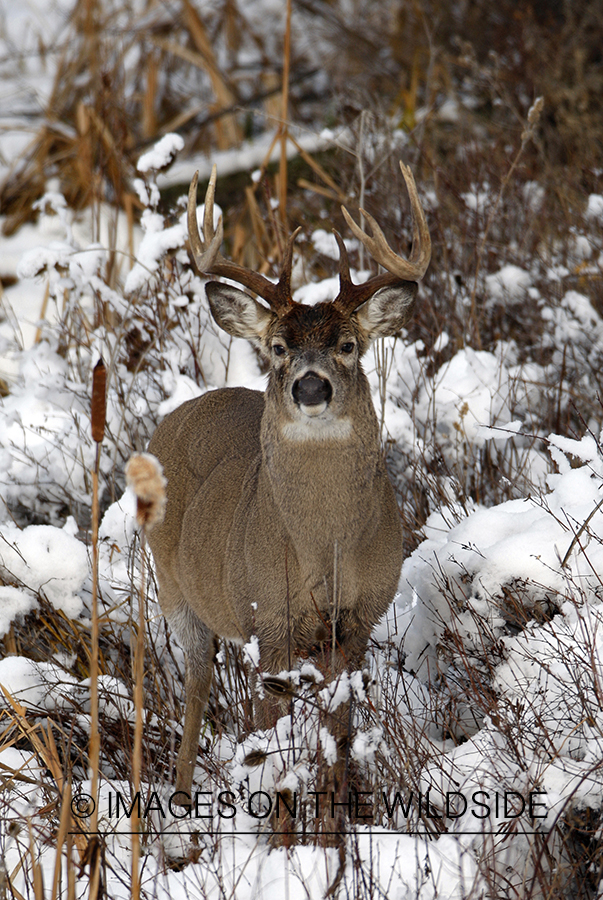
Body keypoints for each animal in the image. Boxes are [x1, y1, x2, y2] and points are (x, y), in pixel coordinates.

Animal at [146, 160, 430, 796]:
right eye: (277, 347)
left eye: (348, 345)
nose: (310, 386)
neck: (324, 551)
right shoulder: (268, 618)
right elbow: (268, 735)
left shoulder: (358, 620)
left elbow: (340, 736)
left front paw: (336, 809)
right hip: (175, 588)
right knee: (197, 687)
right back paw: (180, 796)